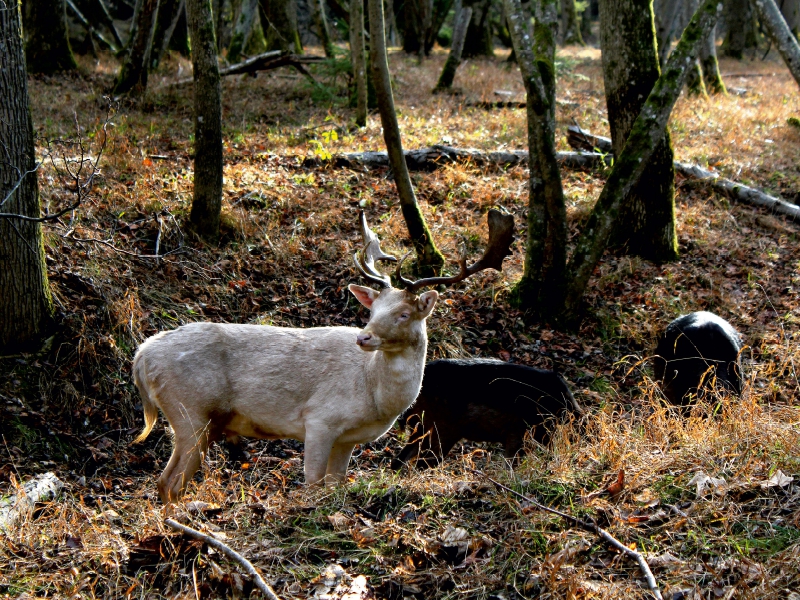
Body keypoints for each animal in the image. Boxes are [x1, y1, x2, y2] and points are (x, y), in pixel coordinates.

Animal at [131, 210, 512, 502]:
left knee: (168, 482)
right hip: (190, 411)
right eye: (374, 310)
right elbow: (312, 484)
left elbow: (335, 484)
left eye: (404, 314)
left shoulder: (348, 439)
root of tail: (142, 355)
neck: (373, 395)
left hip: (197, 419)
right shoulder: (319, 420)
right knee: (169, 481)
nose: (364, 337)